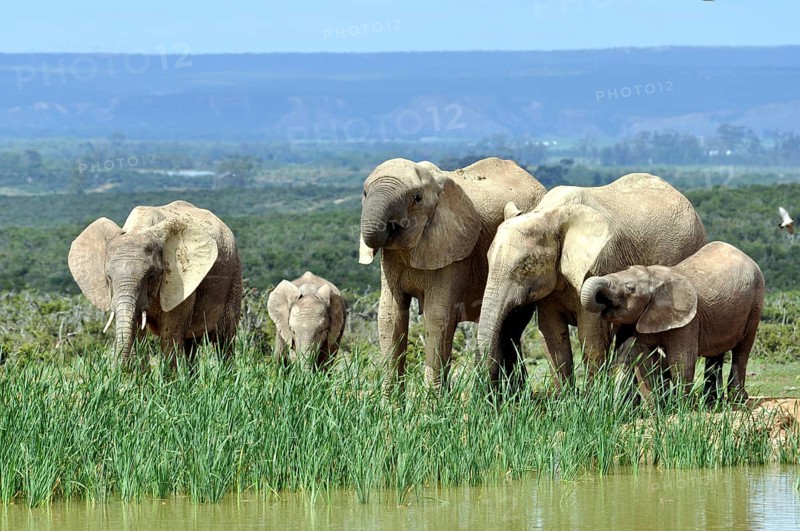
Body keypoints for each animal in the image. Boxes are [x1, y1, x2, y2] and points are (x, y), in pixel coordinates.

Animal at [68, 200, 242, 365]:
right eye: (109, 278)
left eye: (151, 277)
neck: (138, 228)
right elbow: (138, 336)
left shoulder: (180, 286)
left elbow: (170, 336)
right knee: (191, 344)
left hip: (234, 275)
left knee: (224, 340)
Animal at [358, 157, 546, 392]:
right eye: (364, 193)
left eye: (417, 198)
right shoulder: (392, 259)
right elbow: (390, 314)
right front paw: (390, 402)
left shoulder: (456, 252)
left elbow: (437, 314)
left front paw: (432, 401)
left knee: (512, 328)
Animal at [476, 173, 707, 391]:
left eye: (525, 266)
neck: (549, 214)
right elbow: (552, 336)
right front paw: (564, 399)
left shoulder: (600, 262)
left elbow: (591, 336)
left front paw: (590, 400)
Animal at [580, 241, 764, 402]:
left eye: (630, 288)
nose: (601, 301)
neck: (654, 277)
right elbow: (645, 359)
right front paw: (658, 407)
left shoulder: (689, 320)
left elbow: (681, 360)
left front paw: (680, 406)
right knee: (716, 353)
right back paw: (710, 402)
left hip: (756, 303)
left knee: (742, 350)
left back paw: (738, 400)